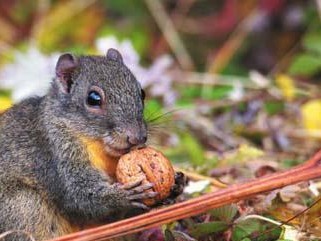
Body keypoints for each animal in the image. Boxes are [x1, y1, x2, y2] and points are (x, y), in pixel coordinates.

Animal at [0, 48, 164, 240]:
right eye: (93, 99)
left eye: (142, 93)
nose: (137, 137)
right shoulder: (56, 155)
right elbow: (80, 196)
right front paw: (124, 195)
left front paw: (177, 182)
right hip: (23, 206)